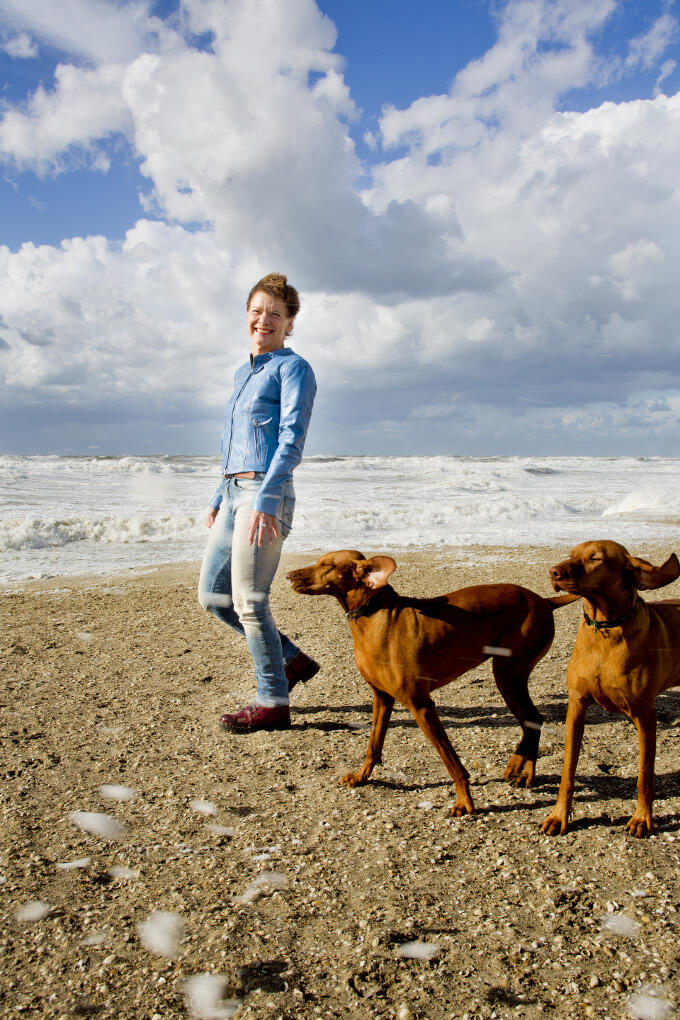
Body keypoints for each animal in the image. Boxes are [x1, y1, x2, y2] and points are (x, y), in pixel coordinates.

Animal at [285, 546, 579, 816]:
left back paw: (525, 772)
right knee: (532, 720)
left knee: (533, 719)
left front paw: (465, 801)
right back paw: (519, 768)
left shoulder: (421, 704)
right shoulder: (382, 698)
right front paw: (361, 777)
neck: (374, 615)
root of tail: (543, 601)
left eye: (326, 565)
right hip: (509, 675)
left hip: (508, 674)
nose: (288, 574)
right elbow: (373, 745)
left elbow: (452, 762)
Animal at [542, 538, 680, 840]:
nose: (553, 572)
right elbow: (568, 771)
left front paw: (642, 818)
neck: (605, 628)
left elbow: (645, 775)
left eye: (596, 558)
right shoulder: (576, 706)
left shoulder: (645, 716)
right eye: (572, 554)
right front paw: (559, 816)